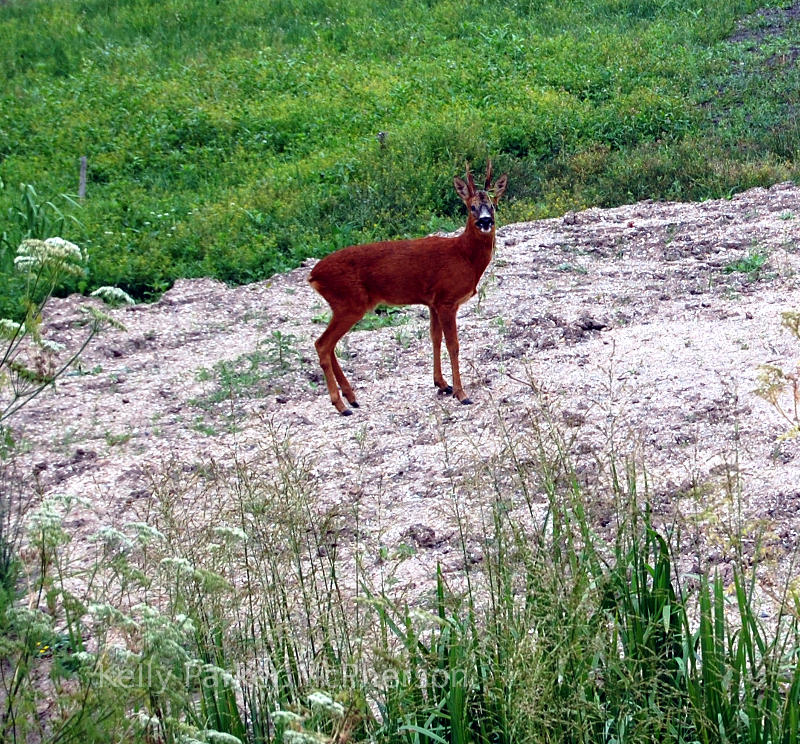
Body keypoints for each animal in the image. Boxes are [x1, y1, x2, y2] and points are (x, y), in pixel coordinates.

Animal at [310, 161, 510, 416]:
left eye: (493, 205)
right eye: (471, 207)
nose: (485, 221)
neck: (465, 256)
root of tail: (313, 275)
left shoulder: (433, 302)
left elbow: (435, 338)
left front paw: (441, 384)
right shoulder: (447, 299)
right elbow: (453, 345)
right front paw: (461, 393)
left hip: (343, 305)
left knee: (329, 345)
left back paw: (351, 397)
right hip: (350, 303)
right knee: (322, 344)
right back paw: (341, 405)